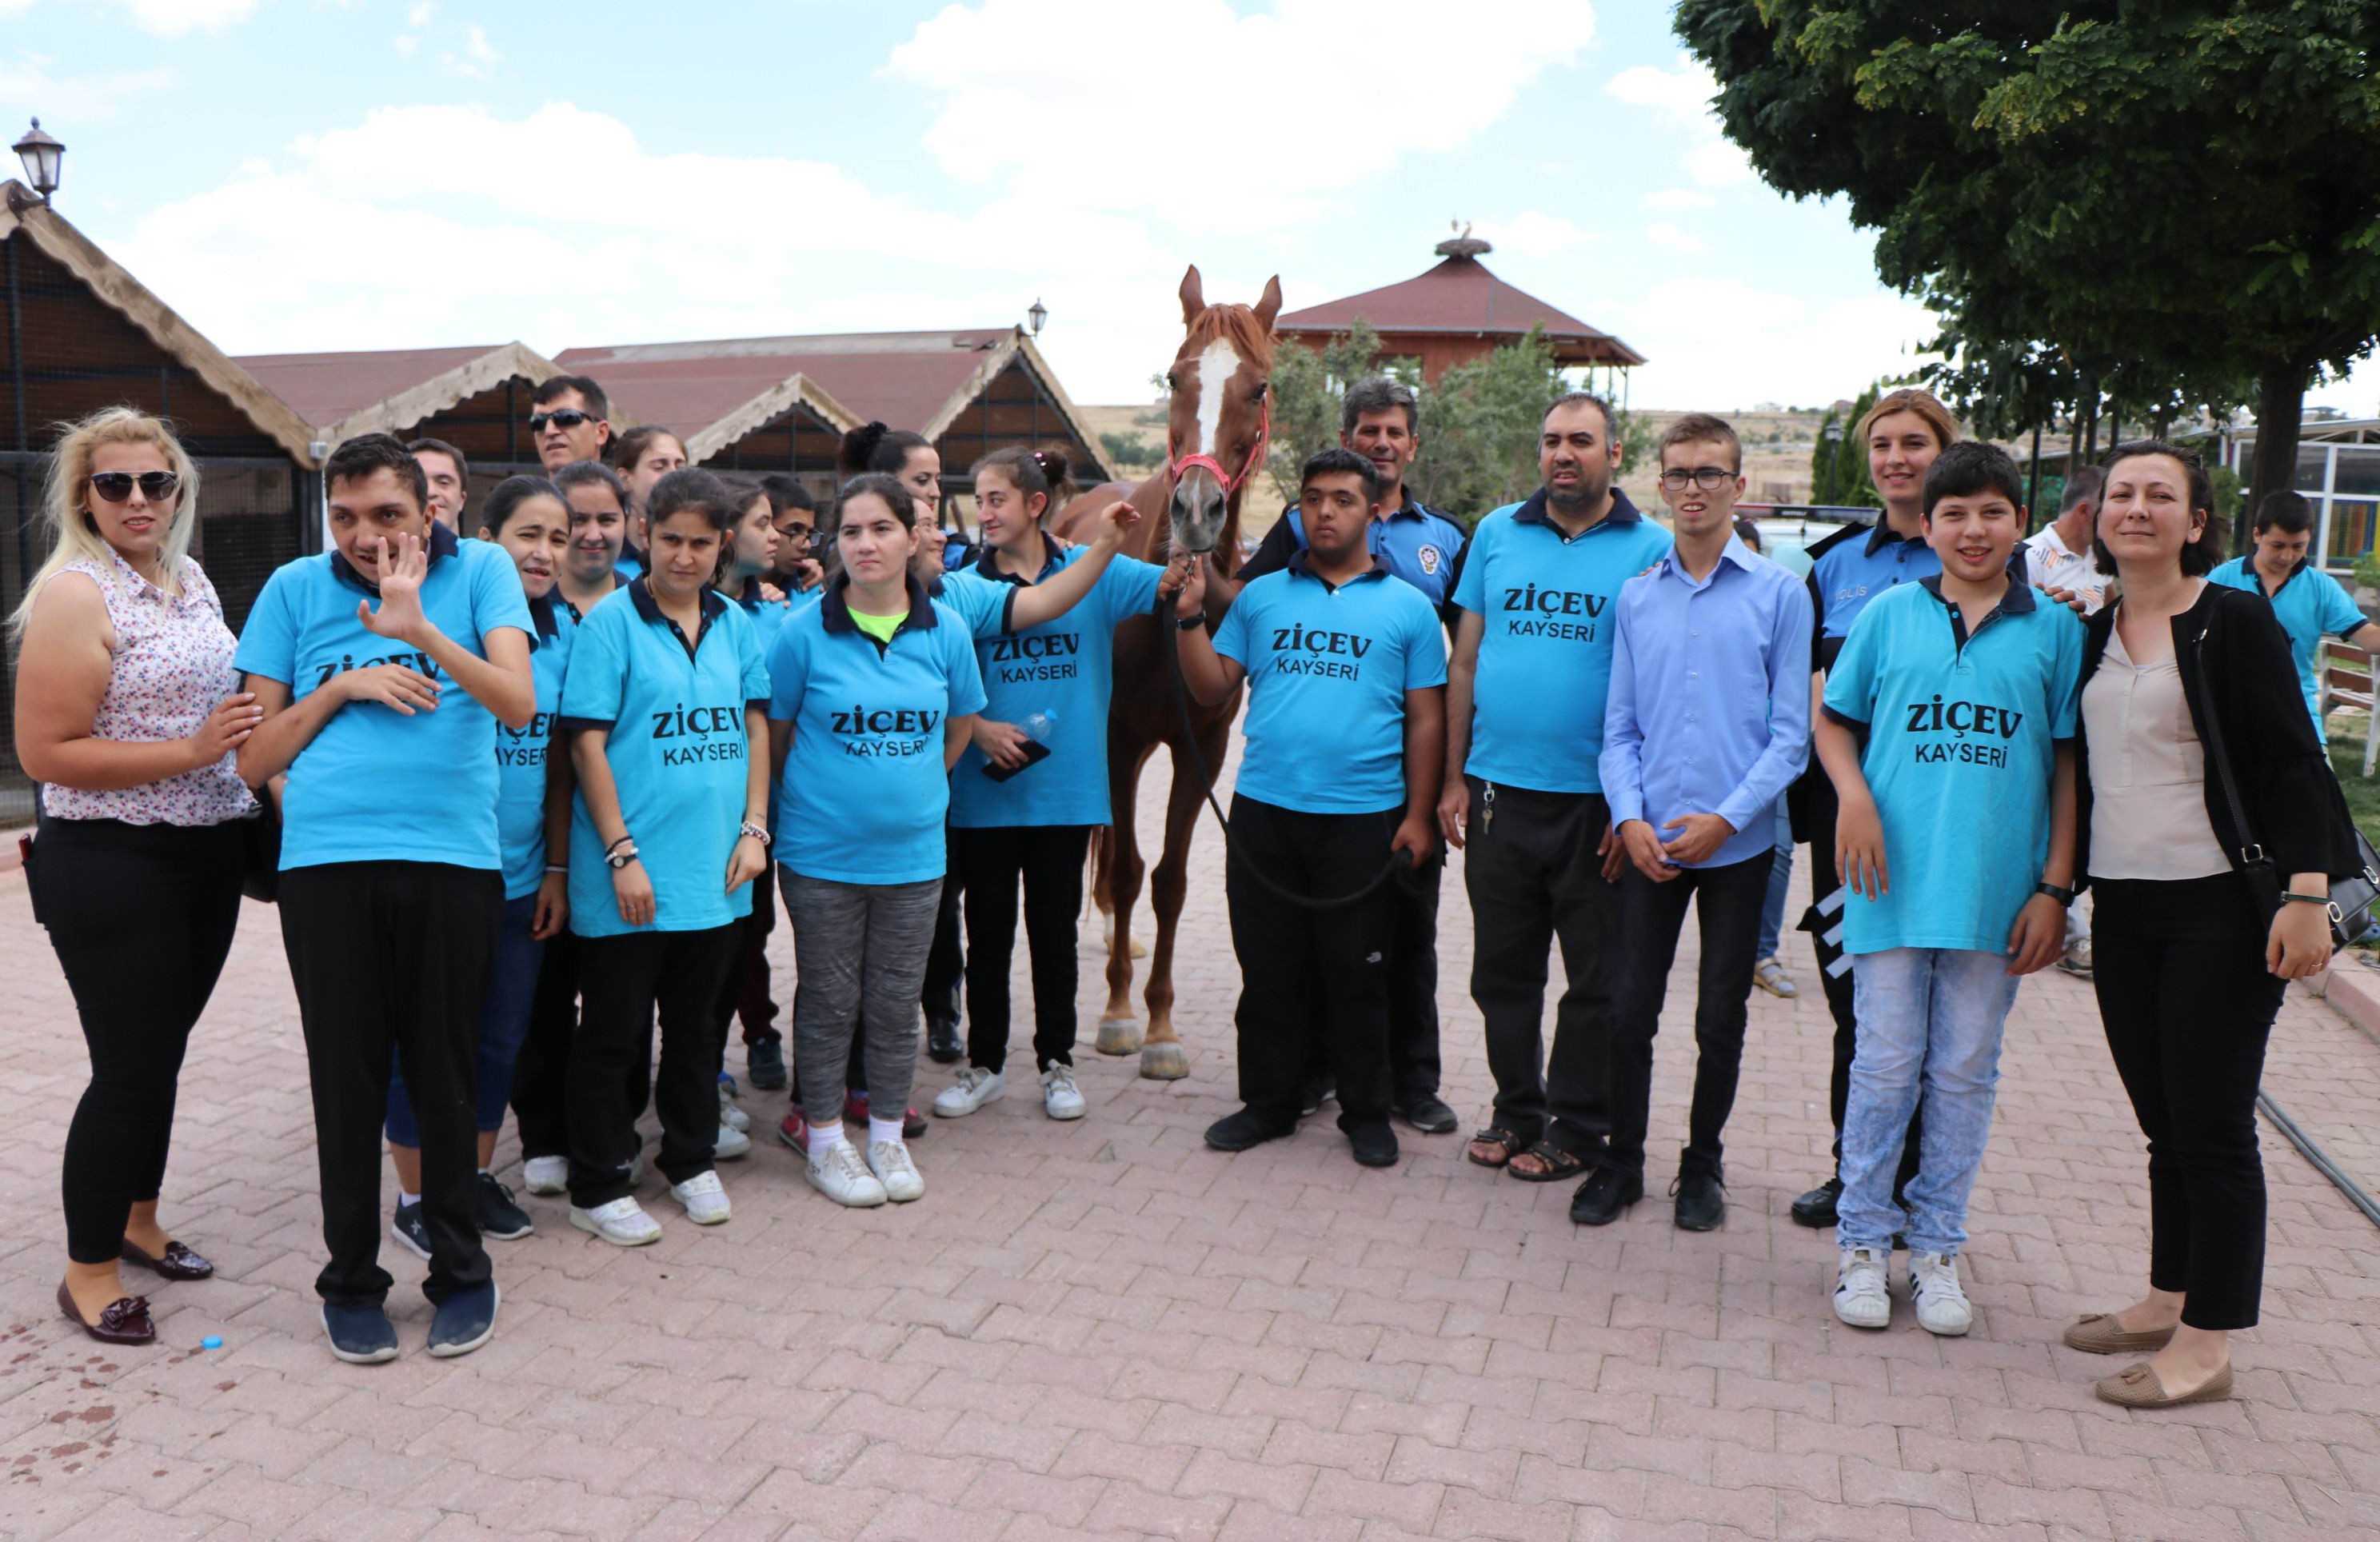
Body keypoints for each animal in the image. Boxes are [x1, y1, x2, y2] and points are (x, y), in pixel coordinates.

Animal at [1052, 265, 1285, 1080]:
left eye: (1259, 386)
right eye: (1177, 376)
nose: (1196, 509)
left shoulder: (1199, 748)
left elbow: (1172, 882)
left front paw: (1160, 1026)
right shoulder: (1117, 740)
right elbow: (1125, 869)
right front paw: (1121, 1017)